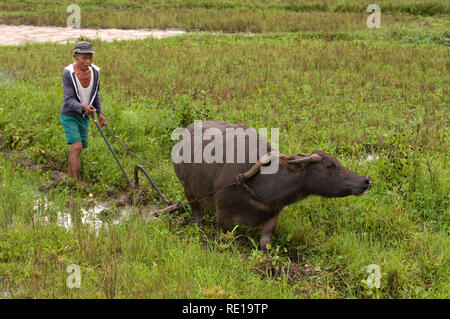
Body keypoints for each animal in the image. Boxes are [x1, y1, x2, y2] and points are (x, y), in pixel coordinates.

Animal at [171, 120, 370, 250]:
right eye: (330, 165)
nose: (366, 180)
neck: (260, 184)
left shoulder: (274, 215)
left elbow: (265, 244)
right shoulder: (223, 216)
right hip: (188, 191)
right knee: (197, 213)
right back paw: (200, 230)